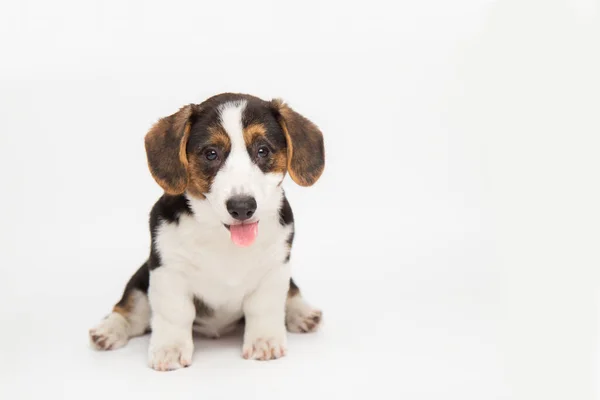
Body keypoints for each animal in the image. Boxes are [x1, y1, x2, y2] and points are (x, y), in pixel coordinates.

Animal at [88, 92, 324, 370]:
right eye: (211, 154)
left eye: (262, 150)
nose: (242, 207)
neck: (222, 236)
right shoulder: (168, 270)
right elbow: (175, 313)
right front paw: (170, 349)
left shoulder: (275, 268)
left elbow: (264, 307)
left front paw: (264, 342)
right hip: (141, 277)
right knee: (130, 309)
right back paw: (108, 330)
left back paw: (302, 313)